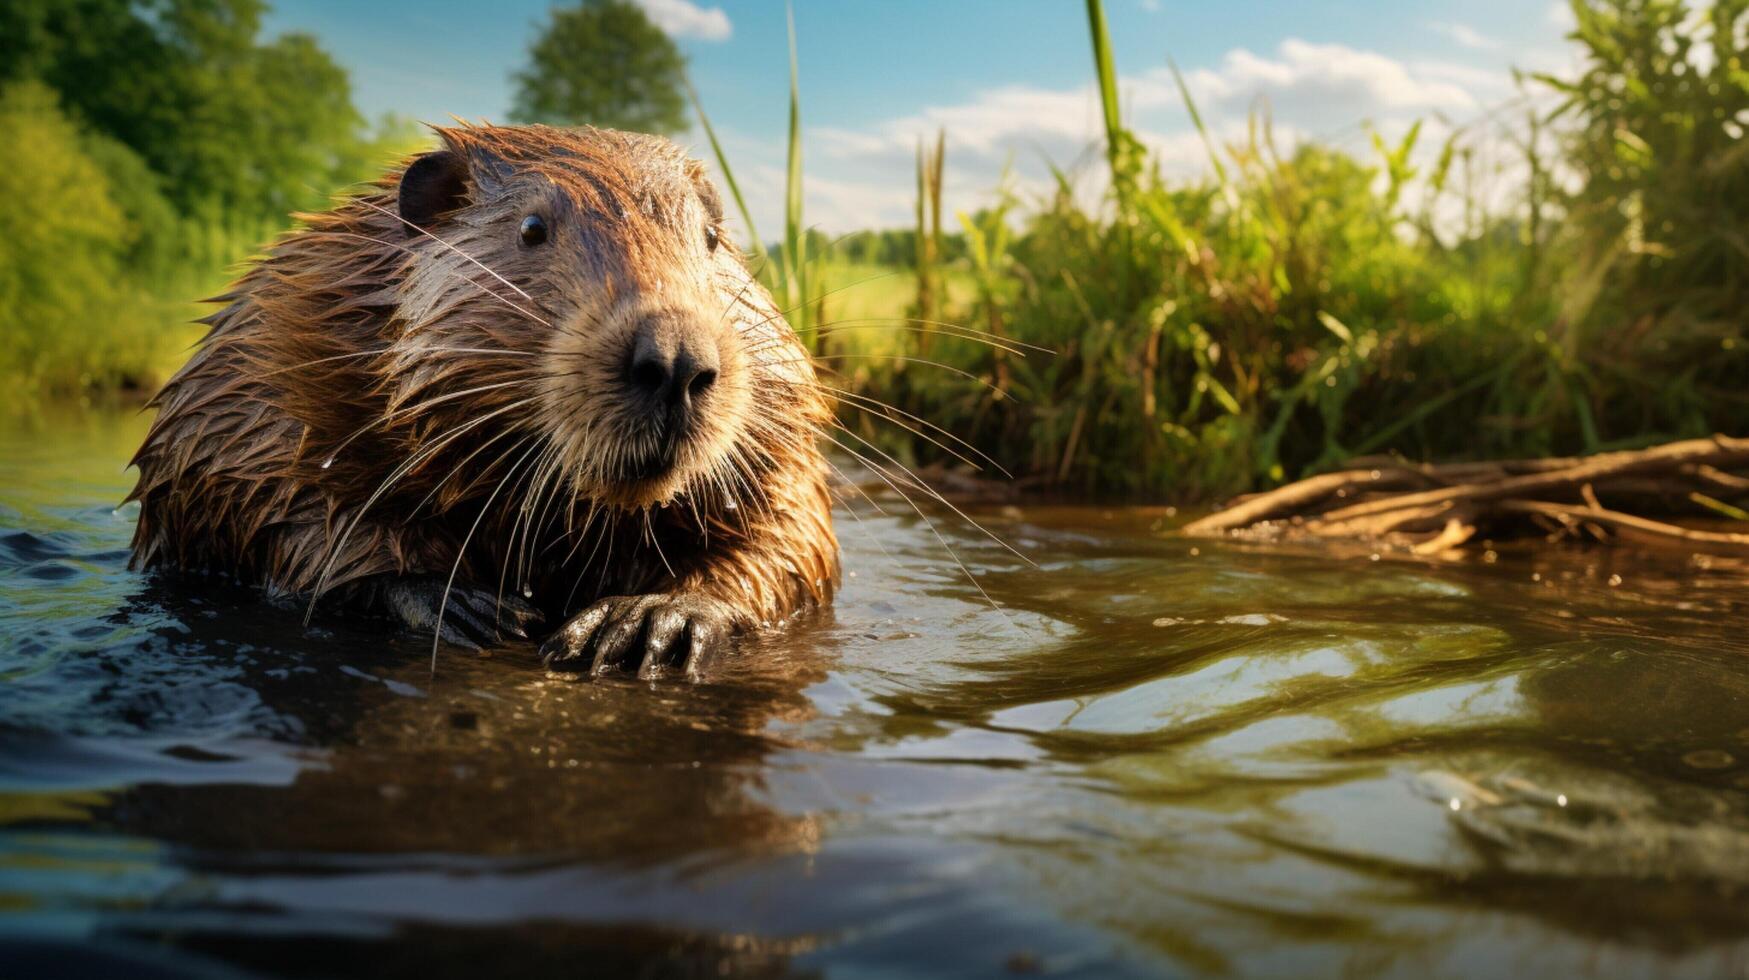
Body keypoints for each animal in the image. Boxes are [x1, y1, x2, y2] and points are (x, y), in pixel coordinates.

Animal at [127, 124, 839, 682]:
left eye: (713, 239)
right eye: (532, 228)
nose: (676, 360)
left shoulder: (778, 416)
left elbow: (793, 533)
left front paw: (646, 620)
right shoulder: (263, 361)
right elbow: (257, 494)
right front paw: (467, 606)